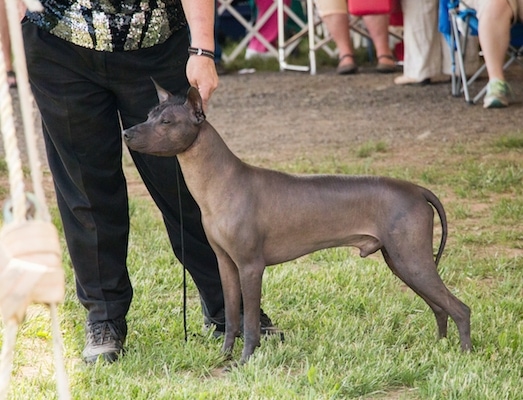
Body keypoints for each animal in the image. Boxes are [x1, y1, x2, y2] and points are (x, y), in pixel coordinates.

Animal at [122, 84, 470, 366]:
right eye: (150, 115)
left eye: (166, 122)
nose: (126, 132)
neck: (220, 181)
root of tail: (417, 189)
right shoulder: (226, 264)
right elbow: (232, 318)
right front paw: (224, 355)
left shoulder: (251, 266)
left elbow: (250, 321)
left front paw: (245, 360)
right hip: (401, 262)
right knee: (440, 307)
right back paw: (440, 346)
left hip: (411, 259)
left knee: (459, 308)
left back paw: (463, 356)